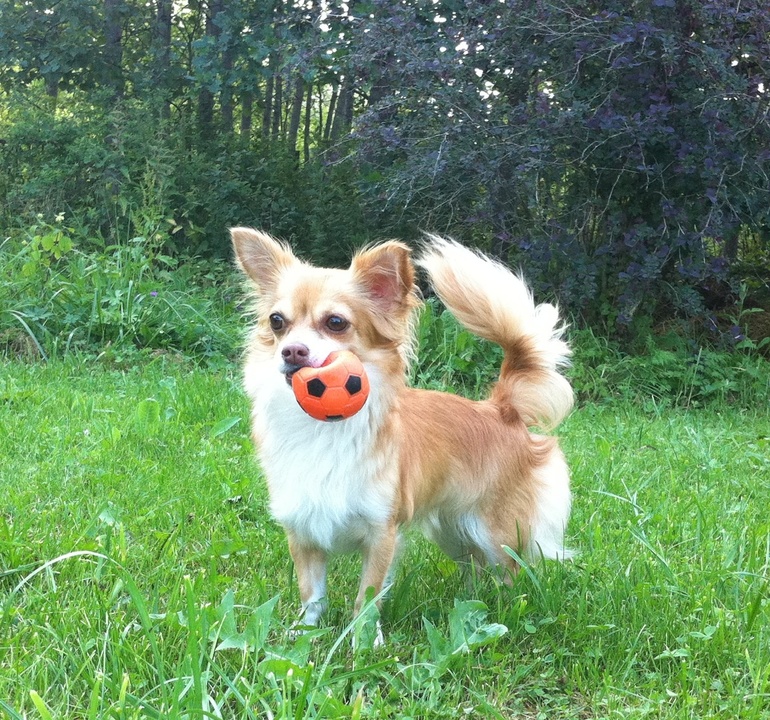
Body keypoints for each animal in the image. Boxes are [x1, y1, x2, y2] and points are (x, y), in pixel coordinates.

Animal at [231, 227, 573, 633]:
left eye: (336, 323)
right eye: (277, 321)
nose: (292, 351)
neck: (319, 428)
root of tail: (501, 408)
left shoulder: (382, 533)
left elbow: (366, 597)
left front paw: (364, 639)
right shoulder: (303, 531)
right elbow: (311, 594)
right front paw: (304, 632)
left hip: (496, 531)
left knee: (510, 572)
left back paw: (503, 611)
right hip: (452, 528)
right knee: (473, 566)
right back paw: (468, 603)